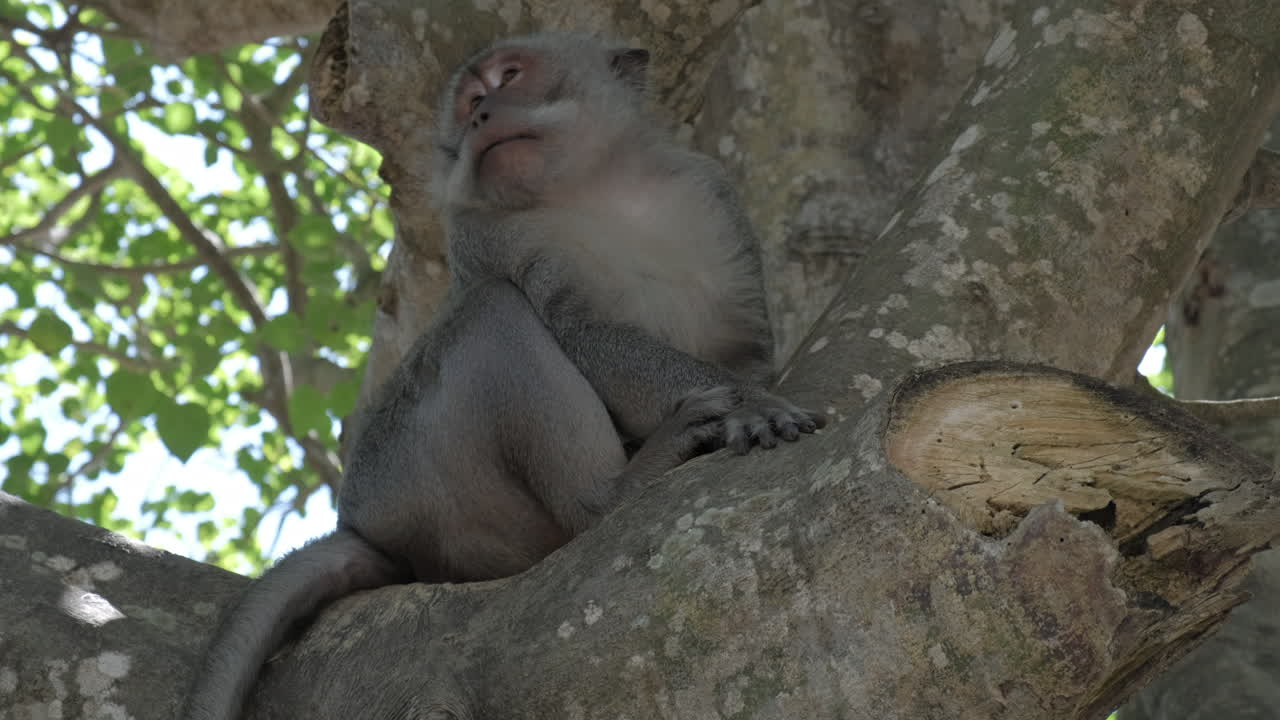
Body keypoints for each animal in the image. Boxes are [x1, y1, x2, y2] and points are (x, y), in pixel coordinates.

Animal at [182, 31, 824, 720]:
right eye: (470, 102)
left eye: (509, 76)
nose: (483, 114)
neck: (597, 188)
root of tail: (365, 524)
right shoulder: (488, 235)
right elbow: (582, 330)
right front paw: (751, 404)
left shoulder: (711, 196)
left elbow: (744, 342)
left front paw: (754, 388)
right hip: (427, 482)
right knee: (494, 312)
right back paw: (608, 497)